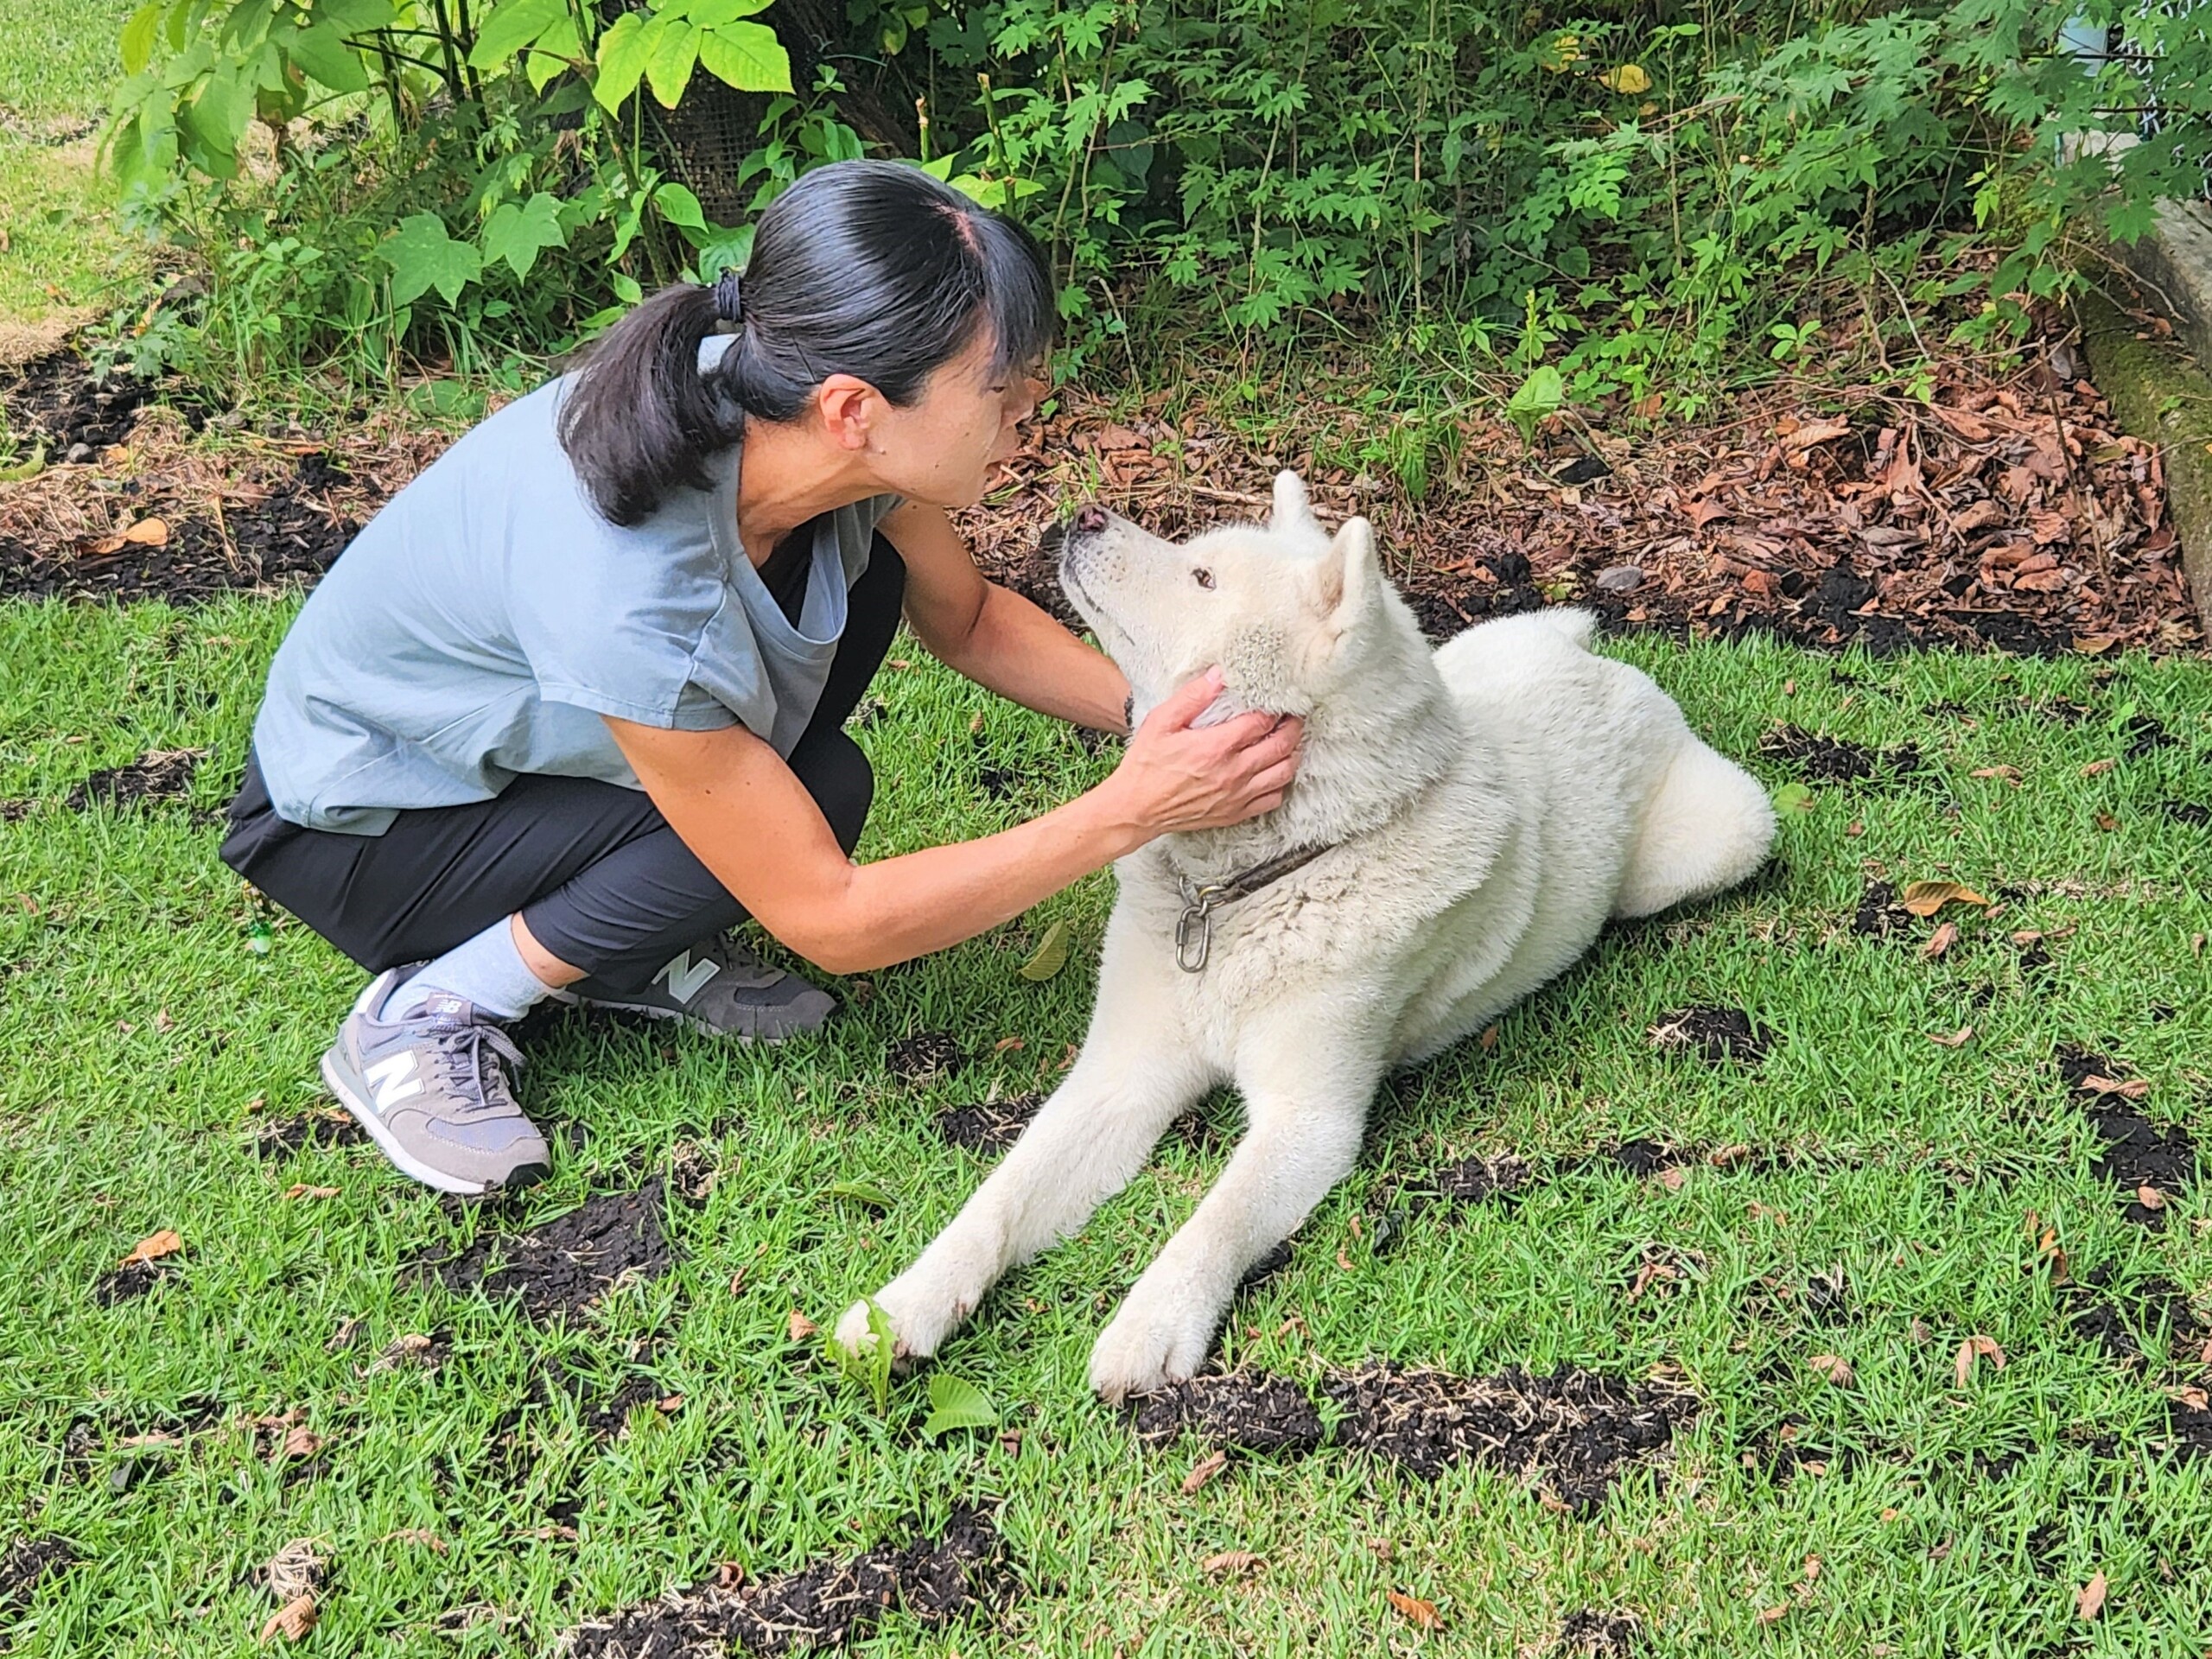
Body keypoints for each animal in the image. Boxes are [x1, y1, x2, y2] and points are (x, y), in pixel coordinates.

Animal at [831, 477, 1778, 1407]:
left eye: (1203, 578)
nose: (1087, 514)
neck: (1242, 887)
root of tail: (1597, 661)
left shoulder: (1308, 1123)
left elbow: (1211, 1222)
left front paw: (1150, 1327)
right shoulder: (1118, 1076)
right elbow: (997, 1199)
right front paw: (904, 1306)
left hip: (1718, 841)